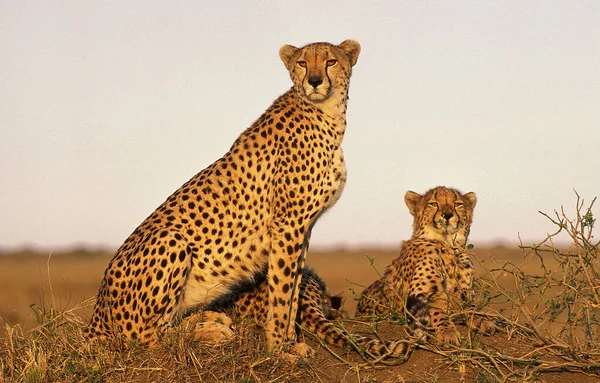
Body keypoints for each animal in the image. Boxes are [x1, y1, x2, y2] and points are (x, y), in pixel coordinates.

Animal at [85, 40, 360, 356]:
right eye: (302, 63)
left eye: (331, 61)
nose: (314, 81)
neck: (327, 115)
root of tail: (97, 312)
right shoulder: (288, 224)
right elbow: (281, 291)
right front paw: (279, 347)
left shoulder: (303, 228)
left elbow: (293, 290)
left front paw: (291, 341)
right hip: (170, 238)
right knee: (148, 336)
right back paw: (210, 332)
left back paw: (211, 319)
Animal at [356, 186, 478, 344]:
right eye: (433, 203)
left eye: (457, 204)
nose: (447, 214)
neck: (447, 245)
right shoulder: (413, 300)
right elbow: (436, 311)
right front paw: (448, 332)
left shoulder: (466, 295)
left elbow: (473, 309)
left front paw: (484, 322)